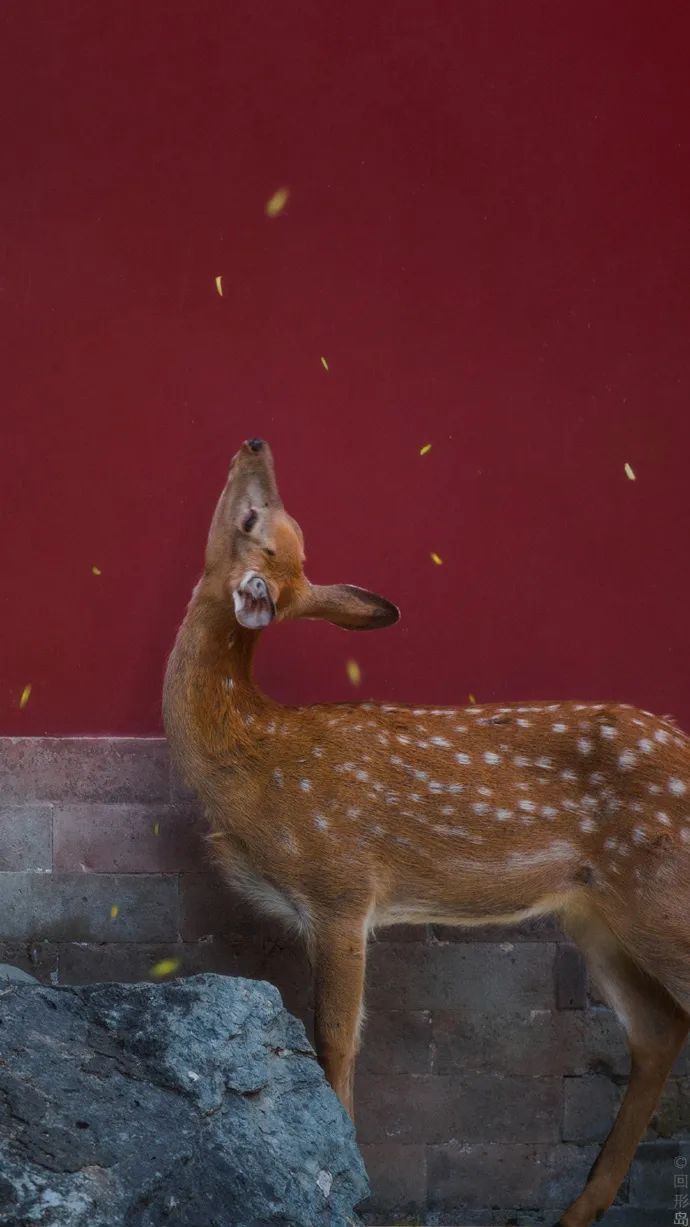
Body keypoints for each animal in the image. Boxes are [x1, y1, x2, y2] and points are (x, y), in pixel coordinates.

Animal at [162, 441, 687, 1227]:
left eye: (258, 520)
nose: (255, 444)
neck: (251, 758)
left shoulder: (341, 883)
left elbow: (335, 1038)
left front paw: (347, 1181)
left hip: (662, 889)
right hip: (595, 911)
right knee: (657, 1029)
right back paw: (578, 1208)